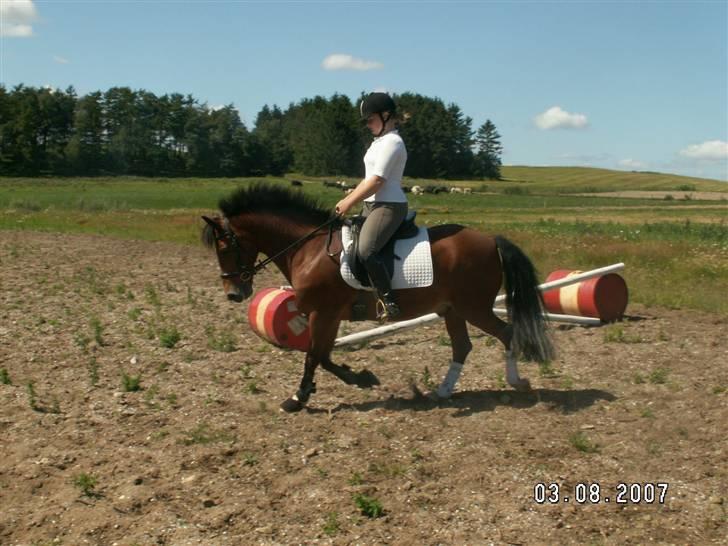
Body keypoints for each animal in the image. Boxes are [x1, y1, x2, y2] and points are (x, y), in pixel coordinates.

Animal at [199, 181, 552, 410]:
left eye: (224, 247)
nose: (234, 294)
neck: (309, 248)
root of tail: (492, 240)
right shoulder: (328, 315)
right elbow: (324, 356)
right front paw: (360, 379)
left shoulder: (323, 312)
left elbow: (314, 356)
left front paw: (298, 398)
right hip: (452, 310)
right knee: (462, 347)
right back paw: (442, 391)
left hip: (473, 307)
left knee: (506, 332)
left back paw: (516, 383)